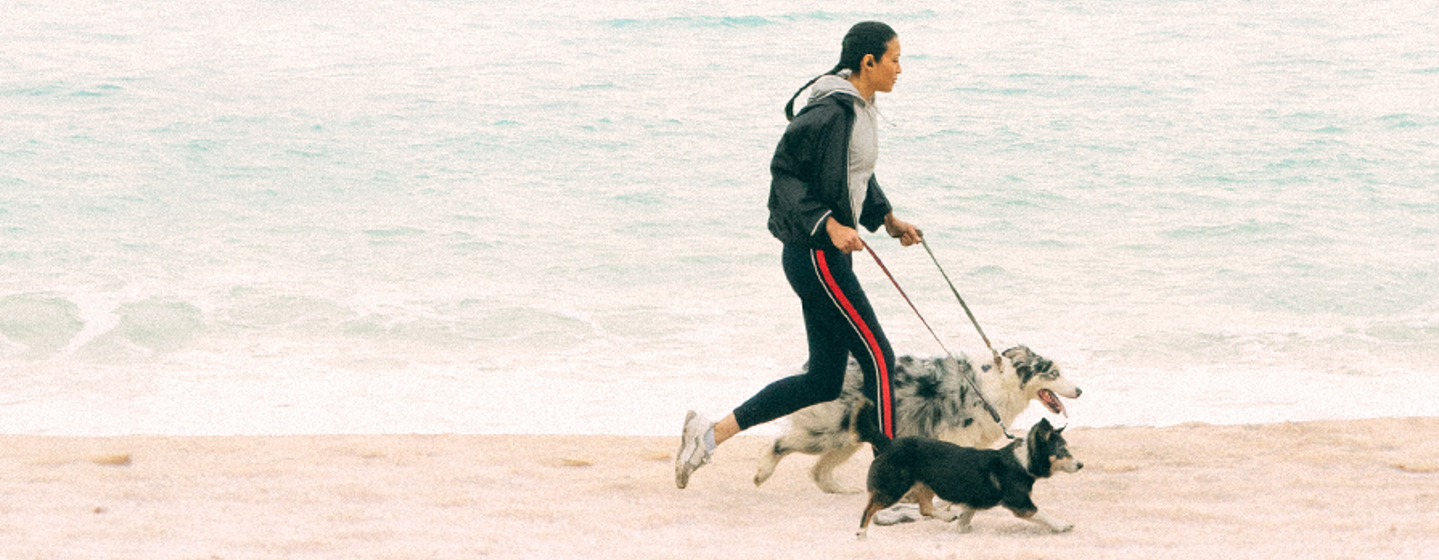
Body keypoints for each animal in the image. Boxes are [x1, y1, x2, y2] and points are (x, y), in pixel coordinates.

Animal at [754, 344, 1082, 492]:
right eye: (1054, 374)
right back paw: (762, 473)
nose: (1079, 390)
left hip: (849, 436)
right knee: (781, 444)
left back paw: (844, 490)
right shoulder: (956, 437)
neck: (999, 384)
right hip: (828, 431)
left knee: (819, 471)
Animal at [851, 417, 1082, 538]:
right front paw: (1062, 525)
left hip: (925, 484)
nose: (1081, 465)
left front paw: (961, 528)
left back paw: (947, 517)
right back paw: (861, 533)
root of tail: (888, 444)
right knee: (869, 508)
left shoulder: (973, 500)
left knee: (925, 508)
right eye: (1062, 451)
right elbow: (1042, 514)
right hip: (893, 488)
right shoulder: (1020, 503)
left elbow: (965, 517)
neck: (1022, 461)